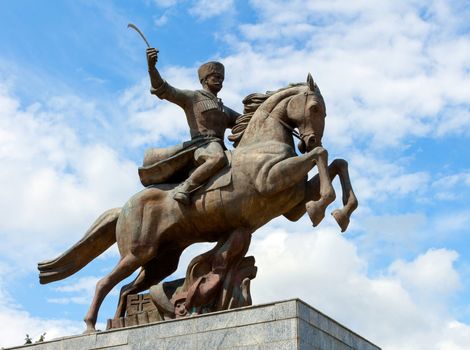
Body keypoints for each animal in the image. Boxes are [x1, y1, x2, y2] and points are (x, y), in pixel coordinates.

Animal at [38, 73, 358, 330]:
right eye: (315, 108)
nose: (310, 140)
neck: (263, 144)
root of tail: (124, 207)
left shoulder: (291, 206)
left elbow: (337, 163)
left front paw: (341, 212)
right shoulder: (271, 181)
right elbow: (323, 157)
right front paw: (323, 207)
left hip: (160, 260)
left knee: (127, 289)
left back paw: (123, 323)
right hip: (137, 252)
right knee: (104, 282)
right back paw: (91, 327)